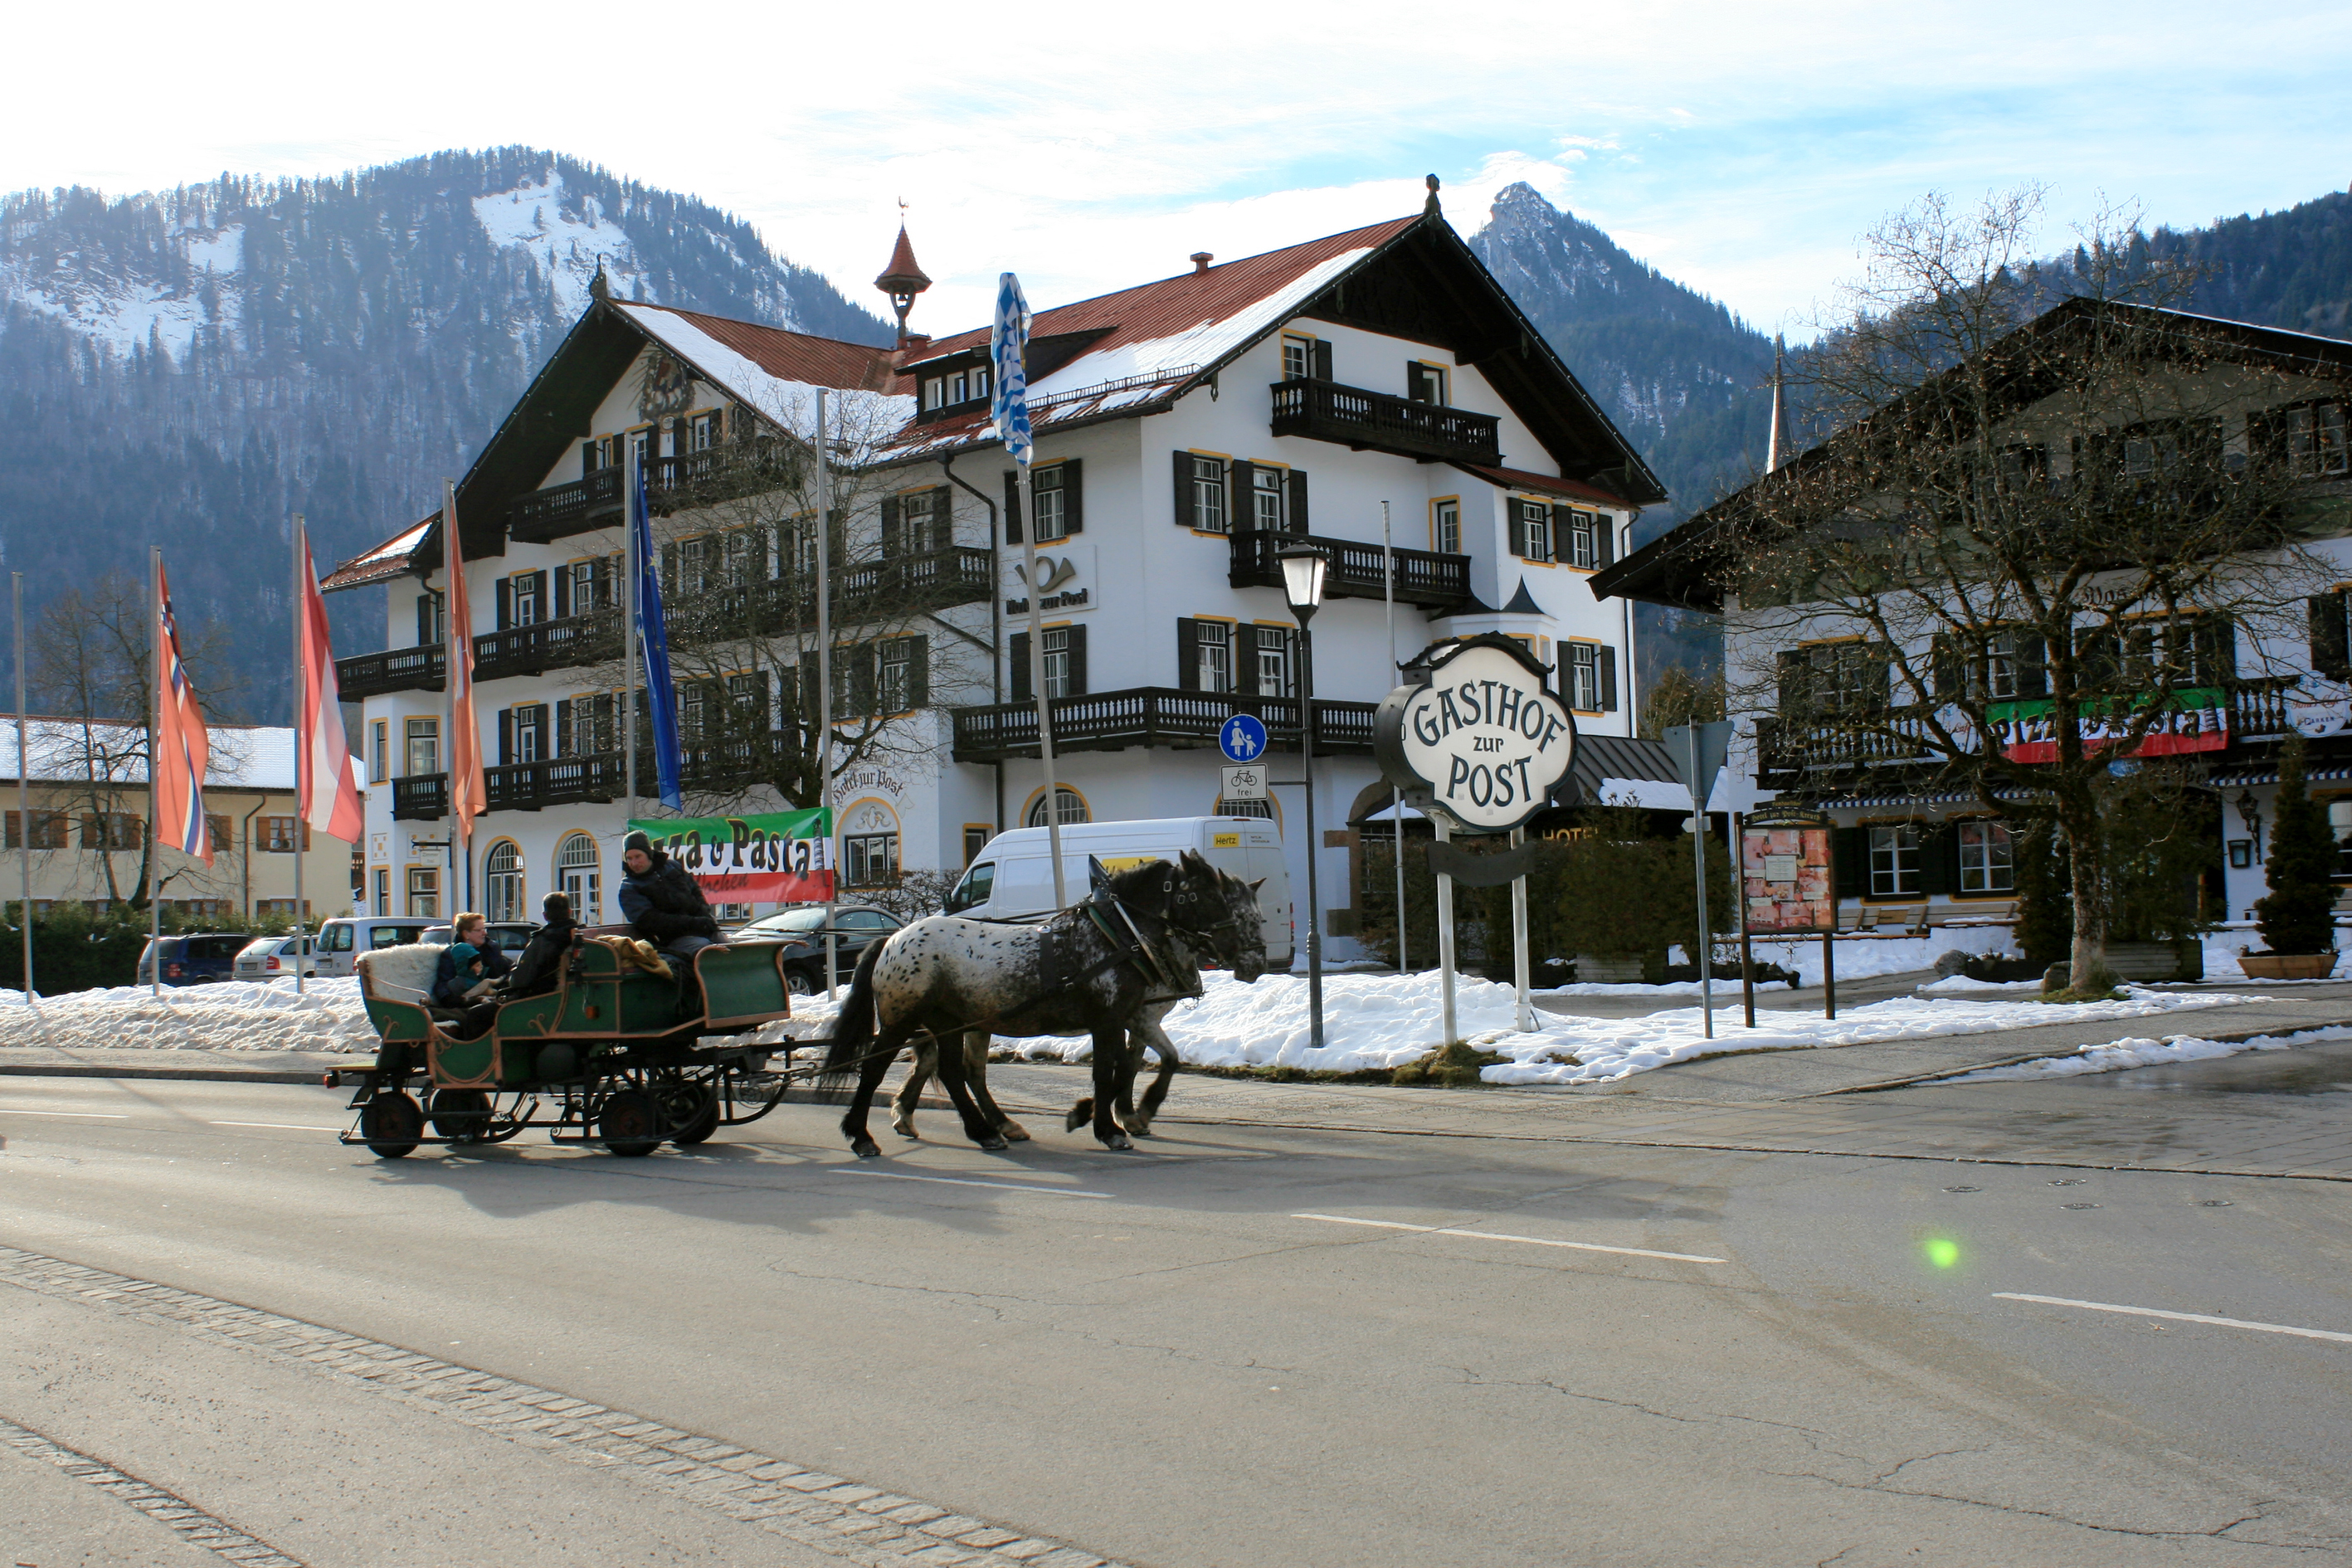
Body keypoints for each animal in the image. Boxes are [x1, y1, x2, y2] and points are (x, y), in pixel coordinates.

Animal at [827, 850, 1269, 1161]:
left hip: (951, 1020)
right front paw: (1110, 1127)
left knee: (954, 1071)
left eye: (1253, 915)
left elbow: (1135, 1066)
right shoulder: (1112, 1019)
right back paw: (863, 1135)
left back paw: (985, 1130)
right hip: (902, 1019)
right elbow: (1109, 1072)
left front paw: (1117, 1116)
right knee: (877, 1069)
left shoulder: (1128, 1018)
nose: (1250, 961)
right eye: (1204, 895)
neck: (1116, 937)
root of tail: (892, 938)